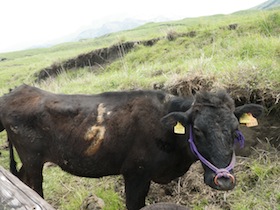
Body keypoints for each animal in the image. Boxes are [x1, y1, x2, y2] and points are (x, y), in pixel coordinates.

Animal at [0, 84, 262, 209]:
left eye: (235, 130)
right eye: (197, 130)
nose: (224, 180)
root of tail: (17, 91)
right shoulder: (136, 174)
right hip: (33, 160)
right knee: (34, 189)